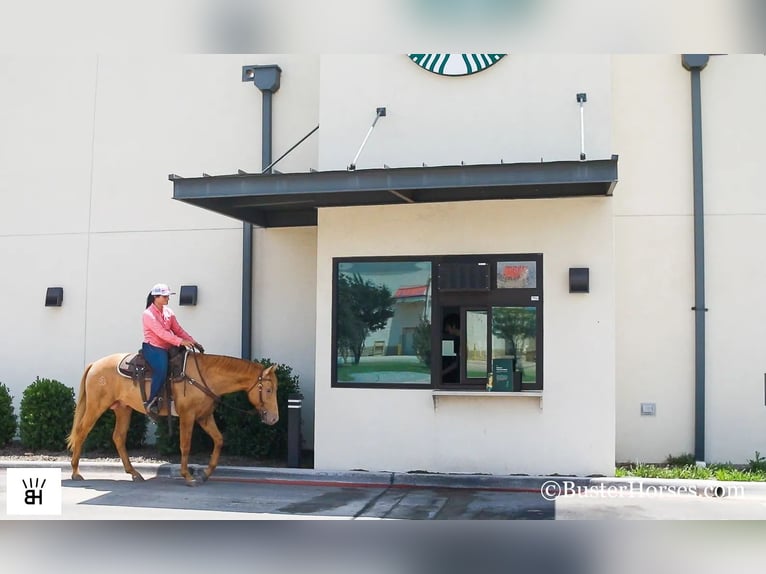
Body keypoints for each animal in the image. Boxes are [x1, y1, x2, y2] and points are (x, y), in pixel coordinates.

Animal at [68, 352, 280, 486]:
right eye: (269, 390)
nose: (274, 418)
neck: (204, 377)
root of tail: (94, 364)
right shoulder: (188, 415)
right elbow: (185, 445)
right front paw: (188, 477)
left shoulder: (204, 417)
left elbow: (219, 440)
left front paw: (205, 474)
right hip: (96, 406)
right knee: (81, 431)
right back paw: (76, 472)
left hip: (123, 409)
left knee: (118, 437)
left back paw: (134, 474)